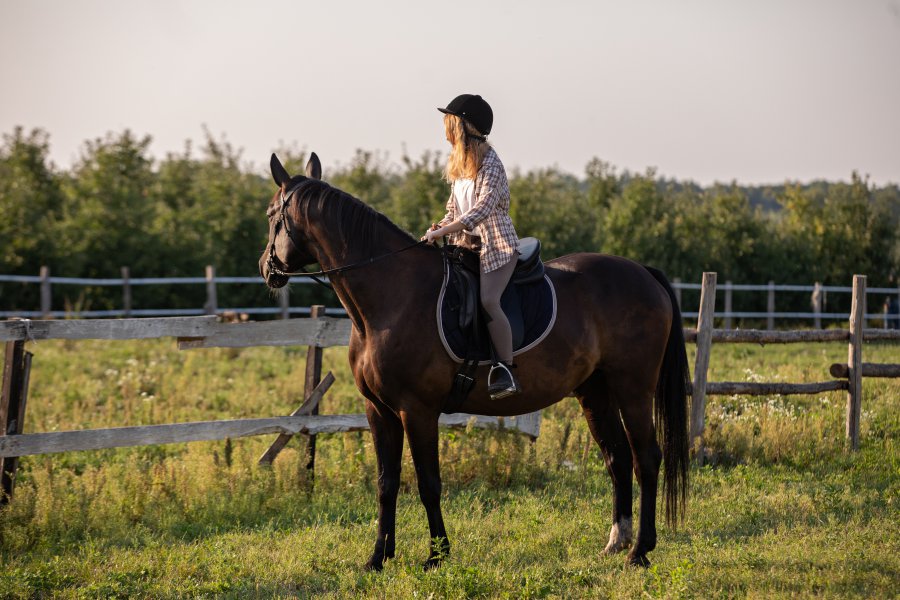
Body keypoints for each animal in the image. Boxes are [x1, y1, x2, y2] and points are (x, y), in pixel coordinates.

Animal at [256, 152, 692, 568]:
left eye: (272, 215)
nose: (265, 268)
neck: (390, 296)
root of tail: (643, 274)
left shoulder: (417, 410)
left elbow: (428, 484)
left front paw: (437, 556)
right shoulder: (378, 410)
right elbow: (386, 484)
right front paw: (378, 558)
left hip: (633, 389)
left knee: (646, 458)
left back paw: (640, 551)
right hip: (595, 392)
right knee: (617, 457)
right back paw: (616, 542)